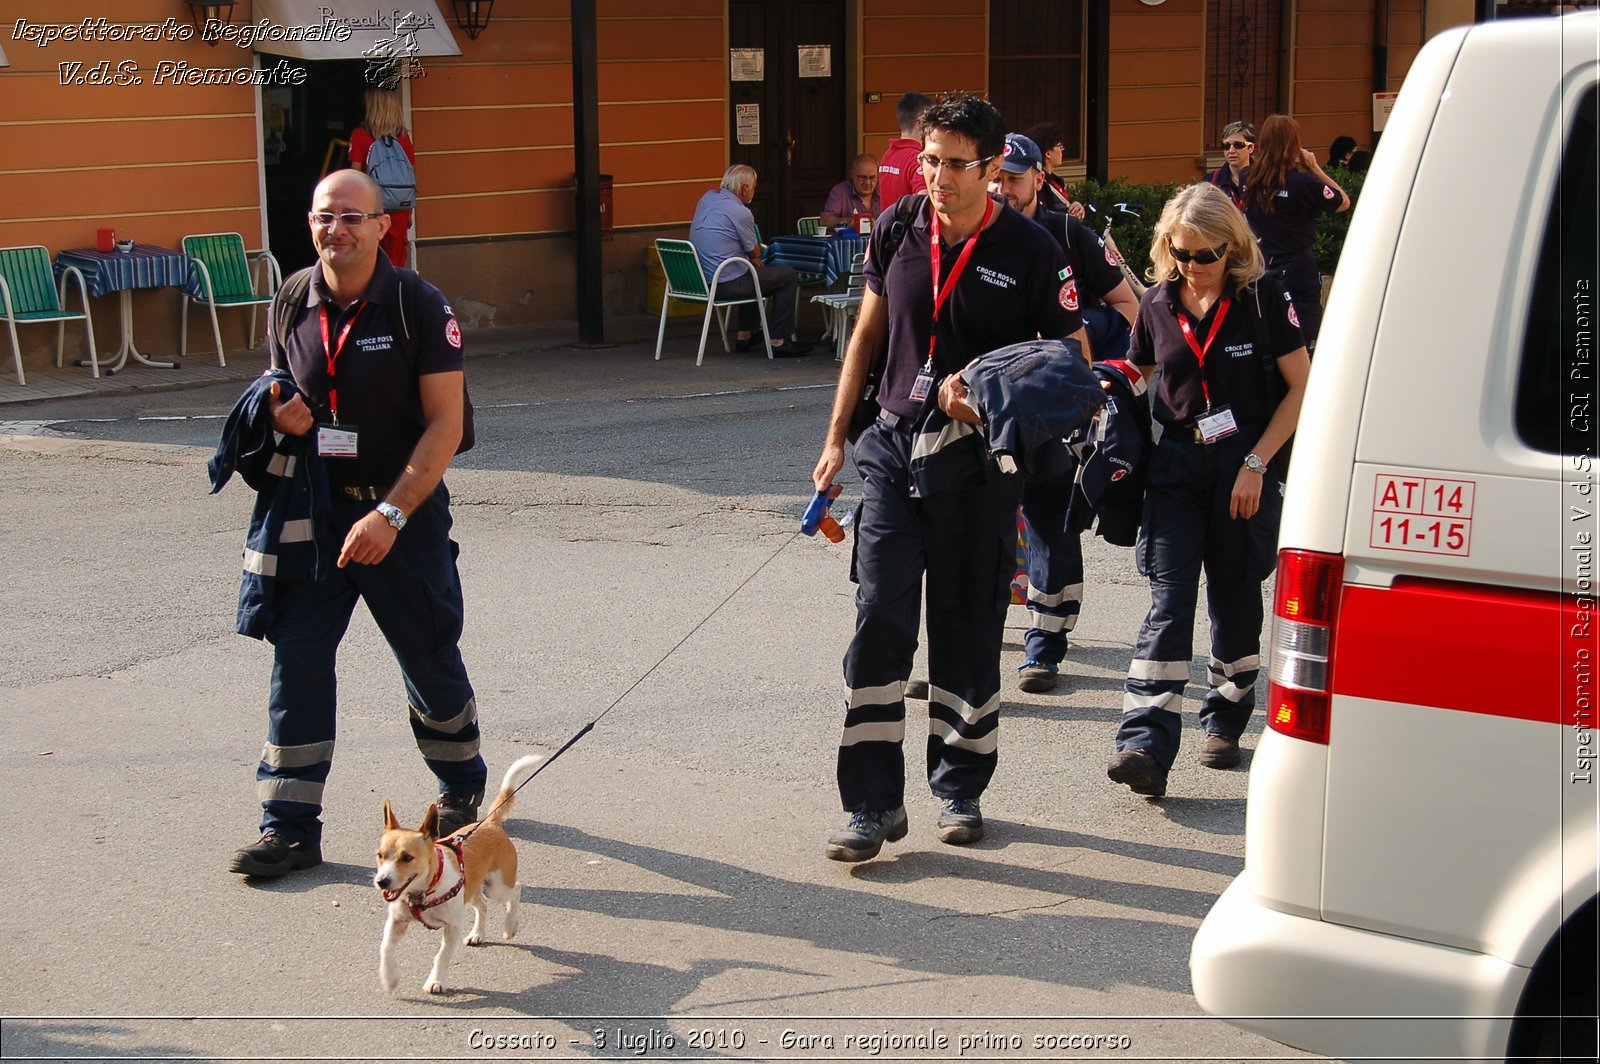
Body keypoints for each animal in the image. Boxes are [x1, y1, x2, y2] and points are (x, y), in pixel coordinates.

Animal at [374, 752, 544, 992]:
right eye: (380, 855)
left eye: (407, 858)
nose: (382, 882)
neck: (424, 891)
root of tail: (490, 823)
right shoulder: (396, 922)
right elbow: (385, 948)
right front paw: (390, 978)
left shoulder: (452, 927)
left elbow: (442, 956)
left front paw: (435, 981)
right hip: (471, 888)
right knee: (482, 905)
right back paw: (477, 934)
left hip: (497, 885)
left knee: (516, 891)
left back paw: (510, 925)